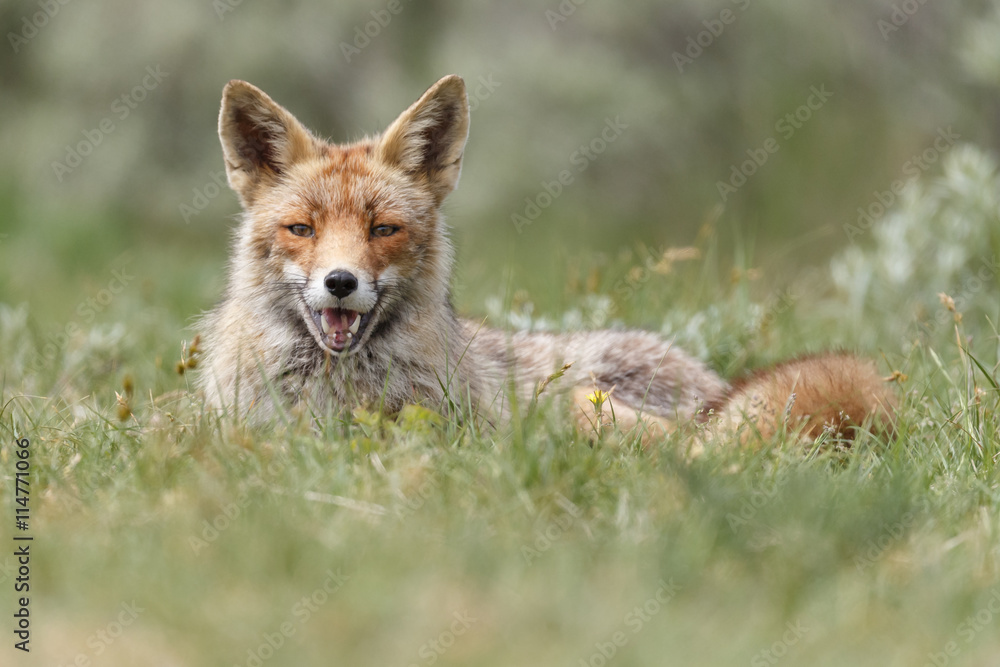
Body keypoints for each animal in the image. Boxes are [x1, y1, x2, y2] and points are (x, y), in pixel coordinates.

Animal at [197, 74, 897, 447]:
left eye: (383, 229)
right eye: (302, 229)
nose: (340, 282)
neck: (335, 397)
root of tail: (709, 384)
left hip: (582, 406)